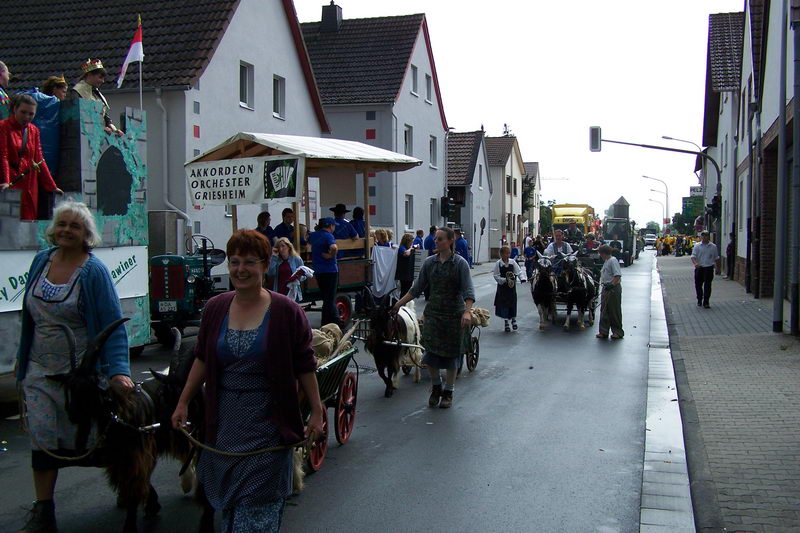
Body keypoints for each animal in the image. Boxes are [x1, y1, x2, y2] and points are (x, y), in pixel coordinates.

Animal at [47, 318, 161, 528]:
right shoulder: (119, 455)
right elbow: (136, 482)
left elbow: (135, 484)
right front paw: (151, 504)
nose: (72, 415)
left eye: (88, 387)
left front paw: (131, 523)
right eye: (69, 387)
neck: (119, 415)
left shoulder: (136, 453)